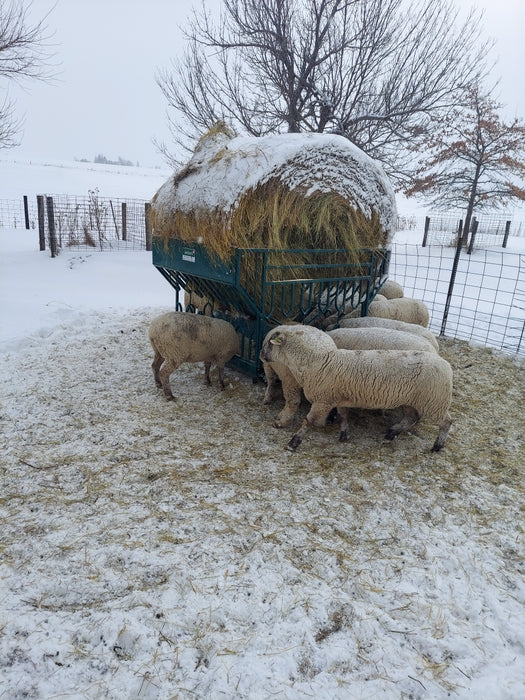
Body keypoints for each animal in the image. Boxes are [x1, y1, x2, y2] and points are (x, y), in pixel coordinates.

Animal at [260, 325, 453, 452]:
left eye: (269, 343)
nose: (261, 356)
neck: (314, 362)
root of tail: (446, 365)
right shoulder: (337, 397)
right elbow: (344, 415)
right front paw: (344, 434)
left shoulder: (323, 400)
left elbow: (308, 421)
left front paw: (293, 443)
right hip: (410, 400)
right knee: (411, 417)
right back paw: (391, 434)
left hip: (434, 402)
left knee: (446, 422)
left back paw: (437, 445)